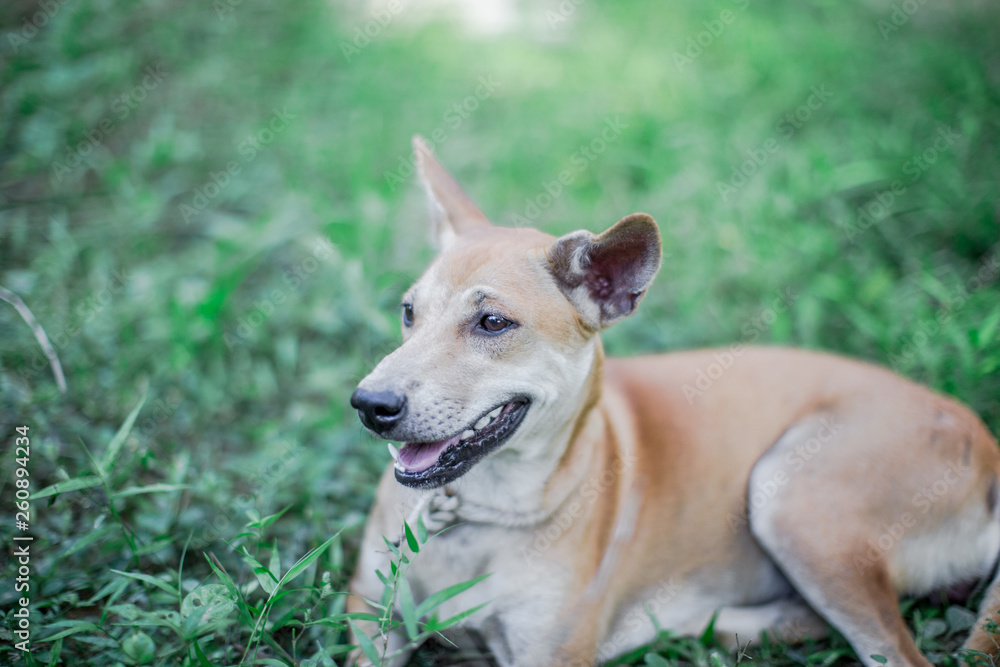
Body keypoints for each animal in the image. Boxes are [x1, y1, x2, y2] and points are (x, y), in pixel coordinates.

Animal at [348, 137, 996, 667]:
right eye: (409, 311)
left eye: (492, 323)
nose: (368, 404)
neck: (471, 510)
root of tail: (985, 441)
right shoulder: (367, 622)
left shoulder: (548, 654)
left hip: (794, 498)